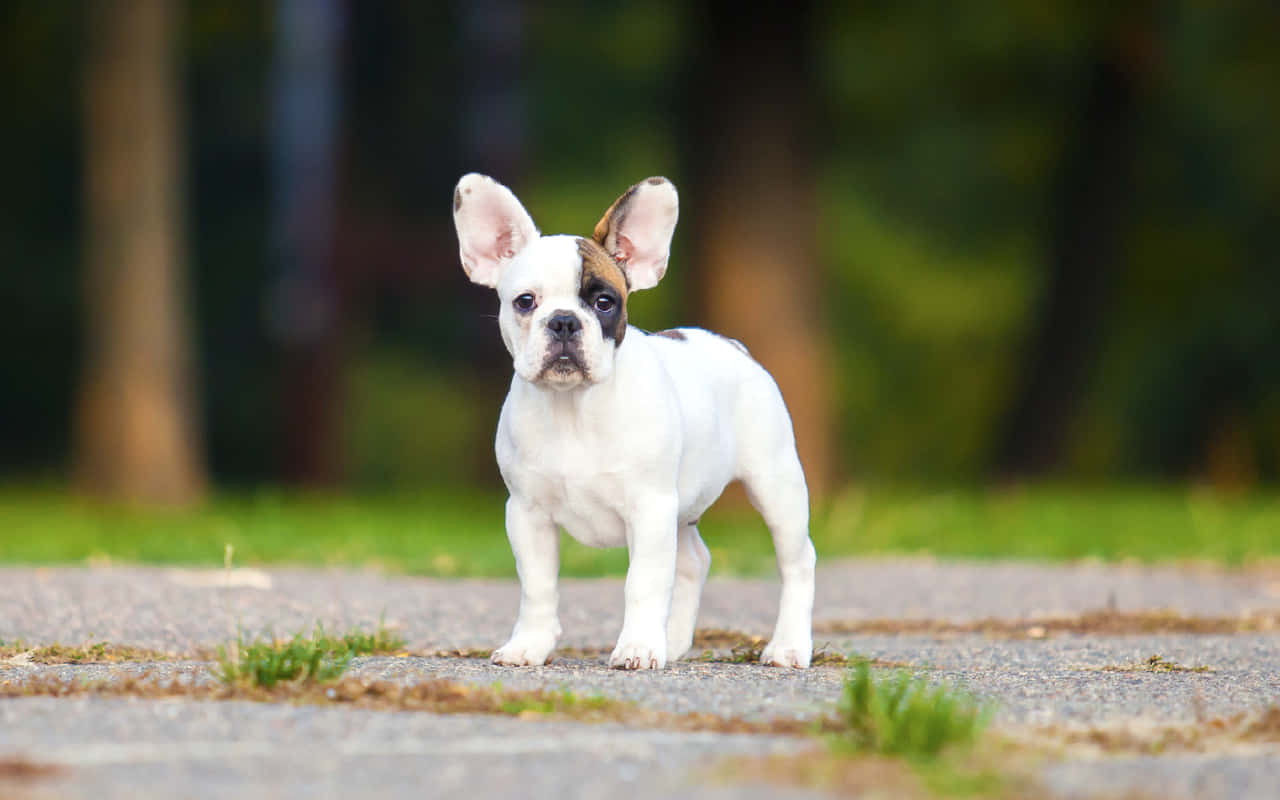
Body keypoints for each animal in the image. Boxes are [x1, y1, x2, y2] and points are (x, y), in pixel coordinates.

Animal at [455, 172, 814, 665]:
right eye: (525, 301)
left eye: (605, 303)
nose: (564, 321)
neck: (574, 407)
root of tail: (734, 346)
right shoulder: (527, 514)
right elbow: (538, 587)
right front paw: (529, 645)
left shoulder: (649, 508)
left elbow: (643, 583)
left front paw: (638, 647)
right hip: (684, 506)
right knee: (694, 560)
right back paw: (675, 642)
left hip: (776, 485)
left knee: (797, 562)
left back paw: (788, 646)